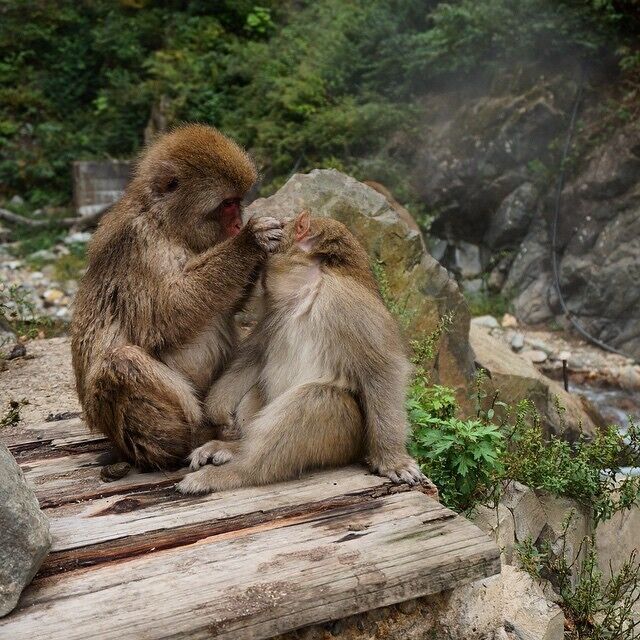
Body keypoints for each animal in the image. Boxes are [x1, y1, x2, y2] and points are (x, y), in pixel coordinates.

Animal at [71, 124, 284, 470]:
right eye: (227, 204)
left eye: (238, 201)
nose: (238, 223)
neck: (168, 225)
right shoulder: (141, 244)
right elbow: (165, 312)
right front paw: (251, 241)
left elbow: (226, 305)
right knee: (120, 362)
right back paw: (188, 440)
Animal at [176, 211, 427, 494]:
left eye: (283, 225)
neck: (306, 290)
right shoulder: (275, 311)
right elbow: (255, 353)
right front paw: (217, 407)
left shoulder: (348, 305)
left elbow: (382, 371)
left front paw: (392, 461)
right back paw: (235, 448)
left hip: (344, 439)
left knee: (317, 398)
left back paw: (236, 473)